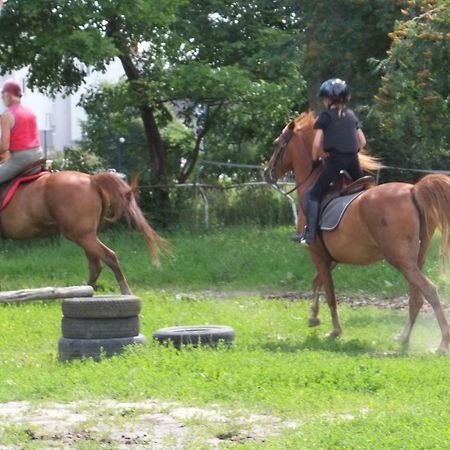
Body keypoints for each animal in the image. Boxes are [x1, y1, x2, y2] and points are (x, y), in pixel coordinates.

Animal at [0, 171, 165, 294]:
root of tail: (92, 180)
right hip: (87, 236)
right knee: (96, 264)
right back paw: (86, 289)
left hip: (81, 235)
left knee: (108, 257)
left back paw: (123, 291)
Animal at [264, 111, 450, 352]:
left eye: (277, 144)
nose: (267, 173)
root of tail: (413, 190)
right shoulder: (330, 257)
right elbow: (317, 281)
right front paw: (313, 317)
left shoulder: (317, 254)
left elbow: (330, 293)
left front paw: (334, 331)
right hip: (416, 258)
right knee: (416, 296)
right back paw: (404, 337)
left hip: (400, 259)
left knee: (429, 291)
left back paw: (442, 343)